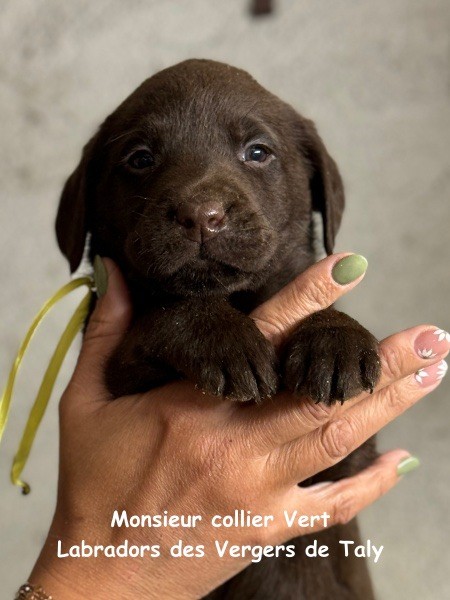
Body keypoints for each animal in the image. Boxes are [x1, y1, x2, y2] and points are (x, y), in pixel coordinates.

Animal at [56, 59, 381, 599]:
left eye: (258, 152)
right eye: (140, 158)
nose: (201, 215)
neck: (237, 299)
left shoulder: (345, 473)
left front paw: (336, 338)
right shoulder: (116, 376)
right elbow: (170, 311)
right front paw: (223, 339)